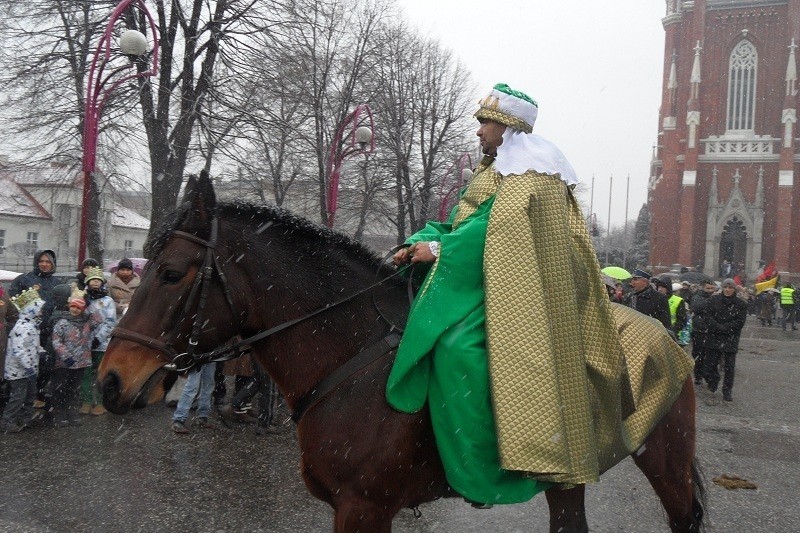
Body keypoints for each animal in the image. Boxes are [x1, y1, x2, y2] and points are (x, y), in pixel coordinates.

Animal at [97, 172, 704, 528]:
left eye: (171, 272)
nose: (109, 381)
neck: (349, 359)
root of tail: (669, 340)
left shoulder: (363, 507)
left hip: (665, 463)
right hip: (569, 481)